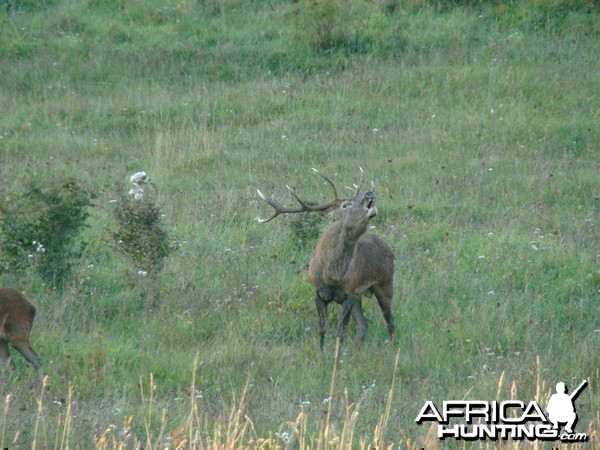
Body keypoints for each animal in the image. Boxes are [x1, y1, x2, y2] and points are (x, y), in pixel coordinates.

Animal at [256, 171, 394, 350]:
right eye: (345, 205)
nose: (369, 193)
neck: (332, 275)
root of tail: (387, 246)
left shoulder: (348, 295)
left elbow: (340, 332)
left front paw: (337, 356)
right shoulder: (318, 292)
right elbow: (322, 330)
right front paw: (321, 355)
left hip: (385, 283)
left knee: (390, 322)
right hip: (359, 296)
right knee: (364, 325)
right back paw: (357, 352)